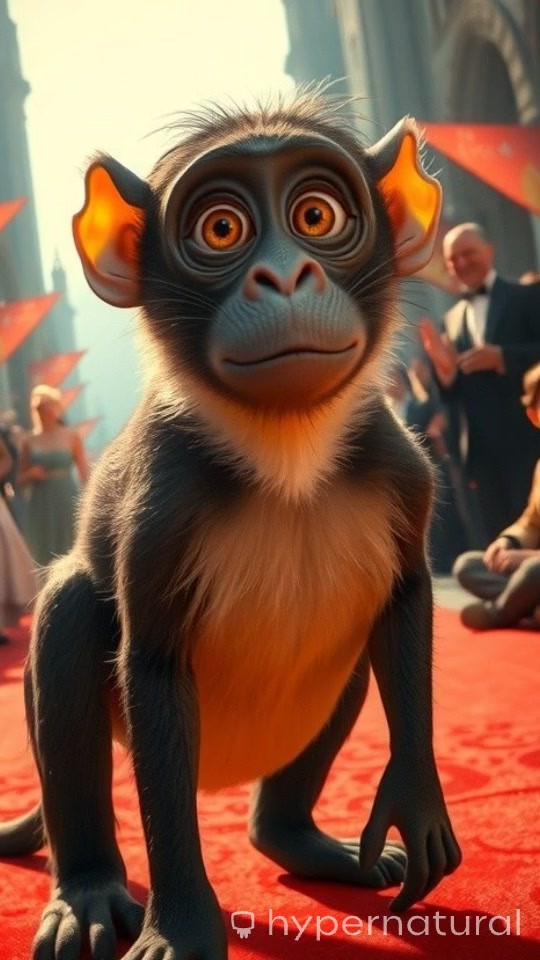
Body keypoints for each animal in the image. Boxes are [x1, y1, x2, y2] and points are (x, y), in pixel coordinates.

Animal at [0, 89, 461, 960]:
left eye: (315, 215)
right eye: (221, 230)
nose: (284, 275)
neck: (287, 455)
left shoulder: (401, 469)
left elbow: (406, 603)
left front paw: (416, 804)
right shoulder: (161, 502)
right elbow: (150, 664)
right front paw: (182, 924)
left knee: (347, 642)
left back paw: (294, 837)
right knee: (69, 612)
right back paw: (86, 889)